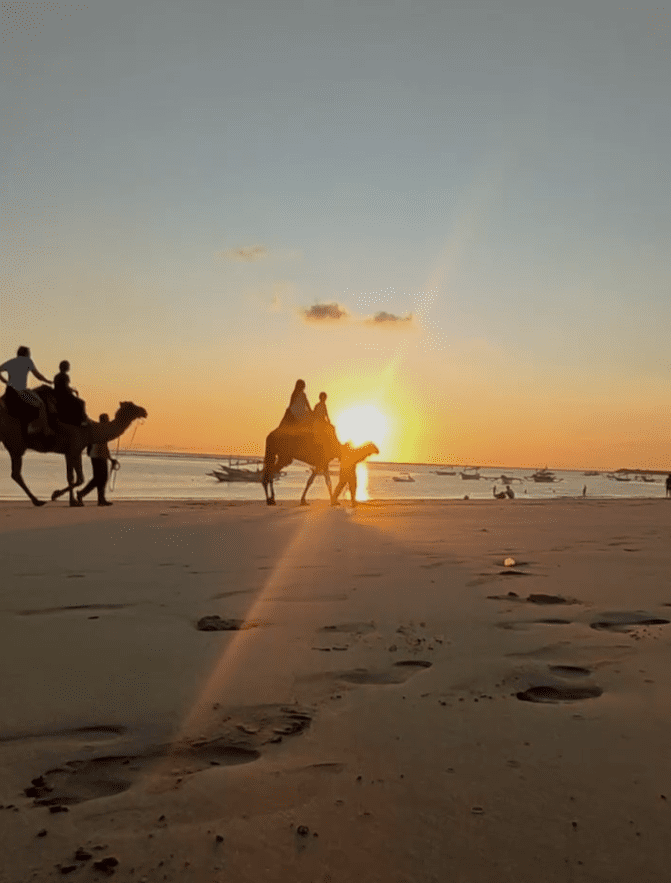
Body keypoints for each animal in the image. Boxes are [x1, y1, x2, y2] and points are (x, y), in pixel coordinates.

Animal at [0, 386, 147, 506]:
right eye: (132, 406)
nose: (144, 411)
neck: (91, 430)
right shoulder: (75, 448)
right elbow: (79, 478)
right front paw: (57, 495)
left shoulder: (69, 451)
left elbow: (70, 477)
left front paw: (72, 501)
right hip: (16, 443)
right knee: (16, 473)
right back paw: (38, 501)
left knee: (16, 474)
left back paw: (37, 501)